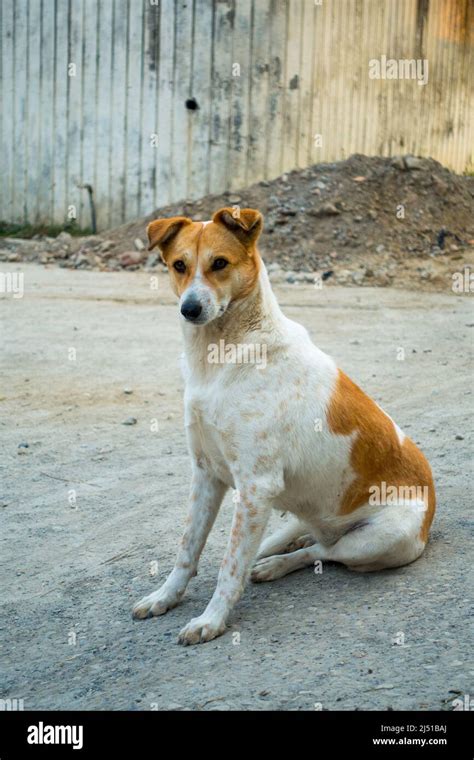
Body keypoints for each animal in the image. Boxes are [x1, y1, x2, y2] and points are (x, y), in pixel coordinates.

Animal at [131, 205, 436, 644]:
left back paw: (275, 565)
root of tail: (432, 509)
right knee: (299, 538)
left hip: (380, 539)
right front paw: (164, 597)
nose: (189, 309)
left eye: (219, 264)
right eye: (179, 266)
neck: (220, 359)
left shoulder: (256, 486)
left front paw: (211, 620)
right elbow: (188, 547)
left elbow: (229, 568)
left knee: (323, 553)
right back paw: (276, 550)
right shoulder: (207, 474)